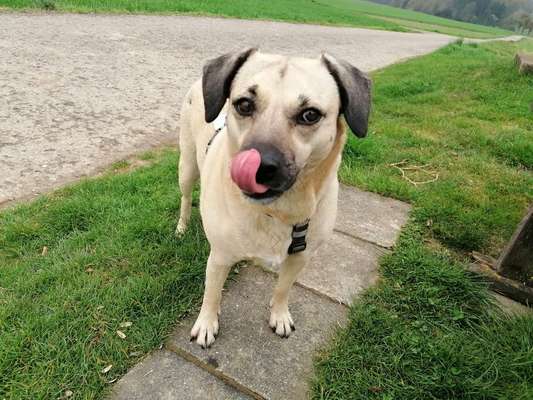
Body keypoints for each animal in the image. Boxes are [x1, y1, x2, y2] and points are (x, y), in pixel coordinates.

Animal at [177, 47, 368, 346]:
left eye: (310, 115)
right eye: (244, 105)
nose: (260, 166)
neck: (279, 211)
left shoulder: (300, 257)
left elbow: (283, 288)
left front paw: (279, 315)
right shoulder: (219, 256)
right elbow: (212, 294)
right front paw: (207, 323)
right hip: (186, 167)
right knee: (185, 198)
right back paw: (182, 226)